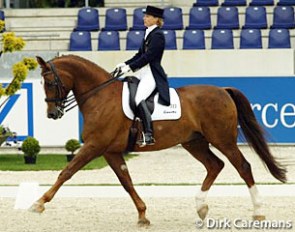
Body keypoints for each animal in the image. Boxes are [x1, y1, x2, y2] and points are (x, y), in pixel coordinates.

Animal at [31, 55, 286, 226]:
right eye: (42, 83)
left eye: (50, 82)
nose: (52, 114)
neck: (100, 97)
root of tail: (223, 90)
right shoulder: (109, 151)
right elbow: (126, 181)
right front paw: (143, 215)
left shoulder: (94, 146)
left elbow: (67, 172)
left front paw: (39, 203)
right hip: (194, 142)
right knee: (215, 165)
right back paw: (201, 207)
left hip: (223, 140)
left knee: (243, 166)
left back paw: (257, 212)